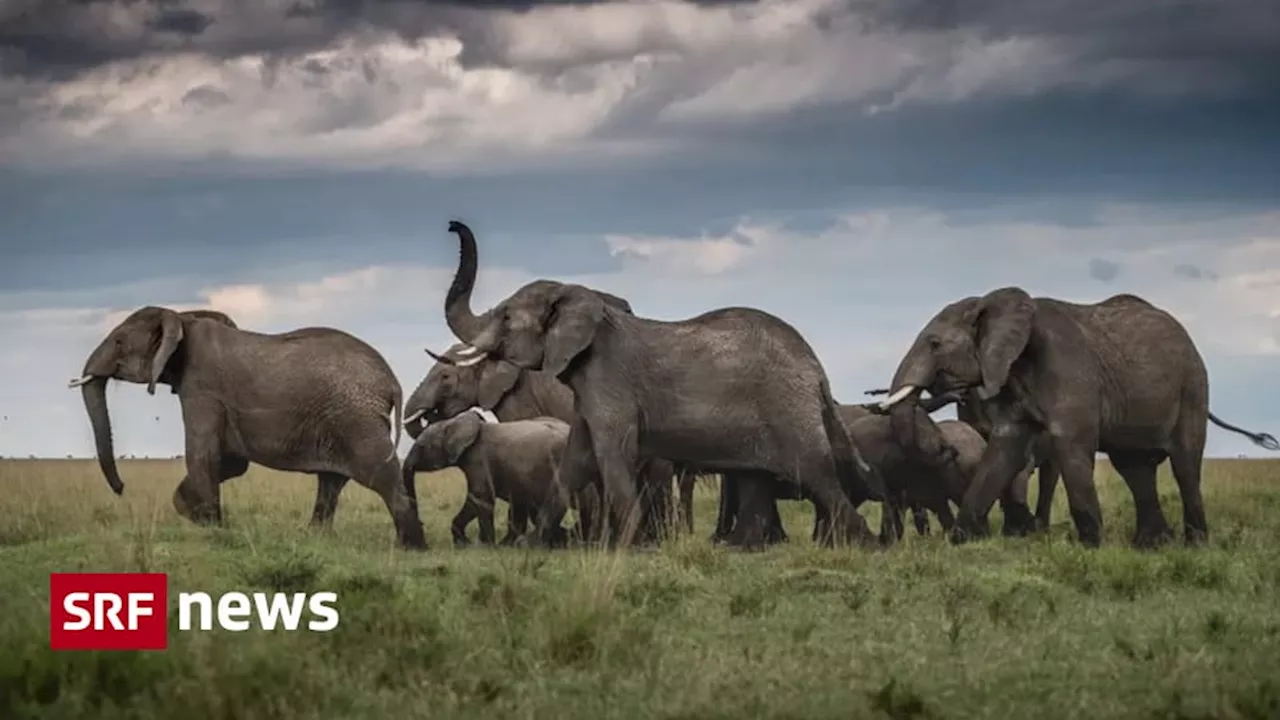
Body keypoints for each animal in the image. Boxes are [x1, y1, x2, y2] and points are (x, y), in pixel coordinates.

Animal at [68, 301, 424, 543]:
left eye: (118, 342)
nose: (122, 488)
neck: (183, 318)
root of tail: (391, 381)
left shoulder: (202, 387)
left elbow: (203, 454)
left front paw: (209, 525)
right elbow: (232, 463)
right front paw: (192, 511)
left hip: (357, 420)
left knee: (381, 476)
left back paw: (410, 548)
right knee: (331, 482)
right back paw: (314, 537)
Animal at [401, 409, 573, 543]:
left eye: (421, 447)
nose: (421, 523)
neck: (452, 422)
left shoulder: (478, 459)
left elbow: (480, 498)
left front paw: (482, 546)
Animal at [435, 221, 885, 545]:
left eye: (507, 317)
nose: (452, 225)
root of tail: (816, 369)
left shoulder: (608, 380)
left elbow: (611, 452)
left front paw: (625, 547)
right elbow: (575, 460)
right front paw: (531, 546)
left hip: (786, 408)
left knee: (817, 475)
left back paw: (864, 544)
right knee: (761, 480)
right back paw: (746, 547)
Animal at [875, 285, 1274, 543]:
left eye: (935, 344)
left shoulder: (1068, 370)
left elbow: (1070, 445)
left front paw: (1091, 547)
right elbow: (1004, 449)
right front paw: (961, 541)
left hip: (1192, 386)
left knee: (1185, 464)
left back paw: (1194, 544)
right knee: (1135, 468)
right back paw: (1151, 545)